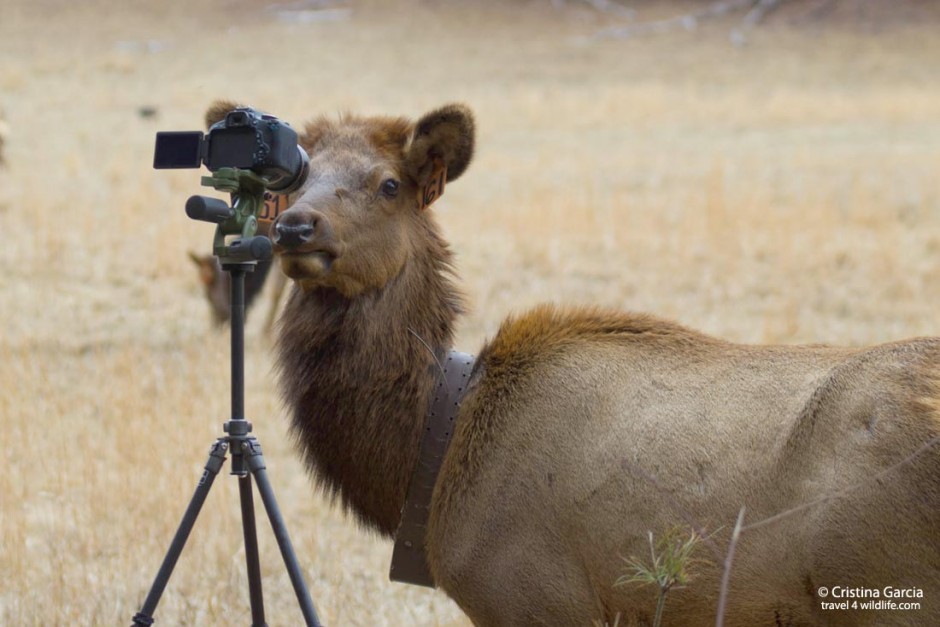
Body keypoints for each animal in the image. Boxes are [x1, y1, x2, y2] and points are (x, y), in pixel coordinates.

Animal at [215, 100, 940, 624]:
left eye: (389, 183)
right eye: (295, 182)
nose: (297, 227)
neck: (433, 453)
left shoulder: (531, 594)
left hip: (882, 585)